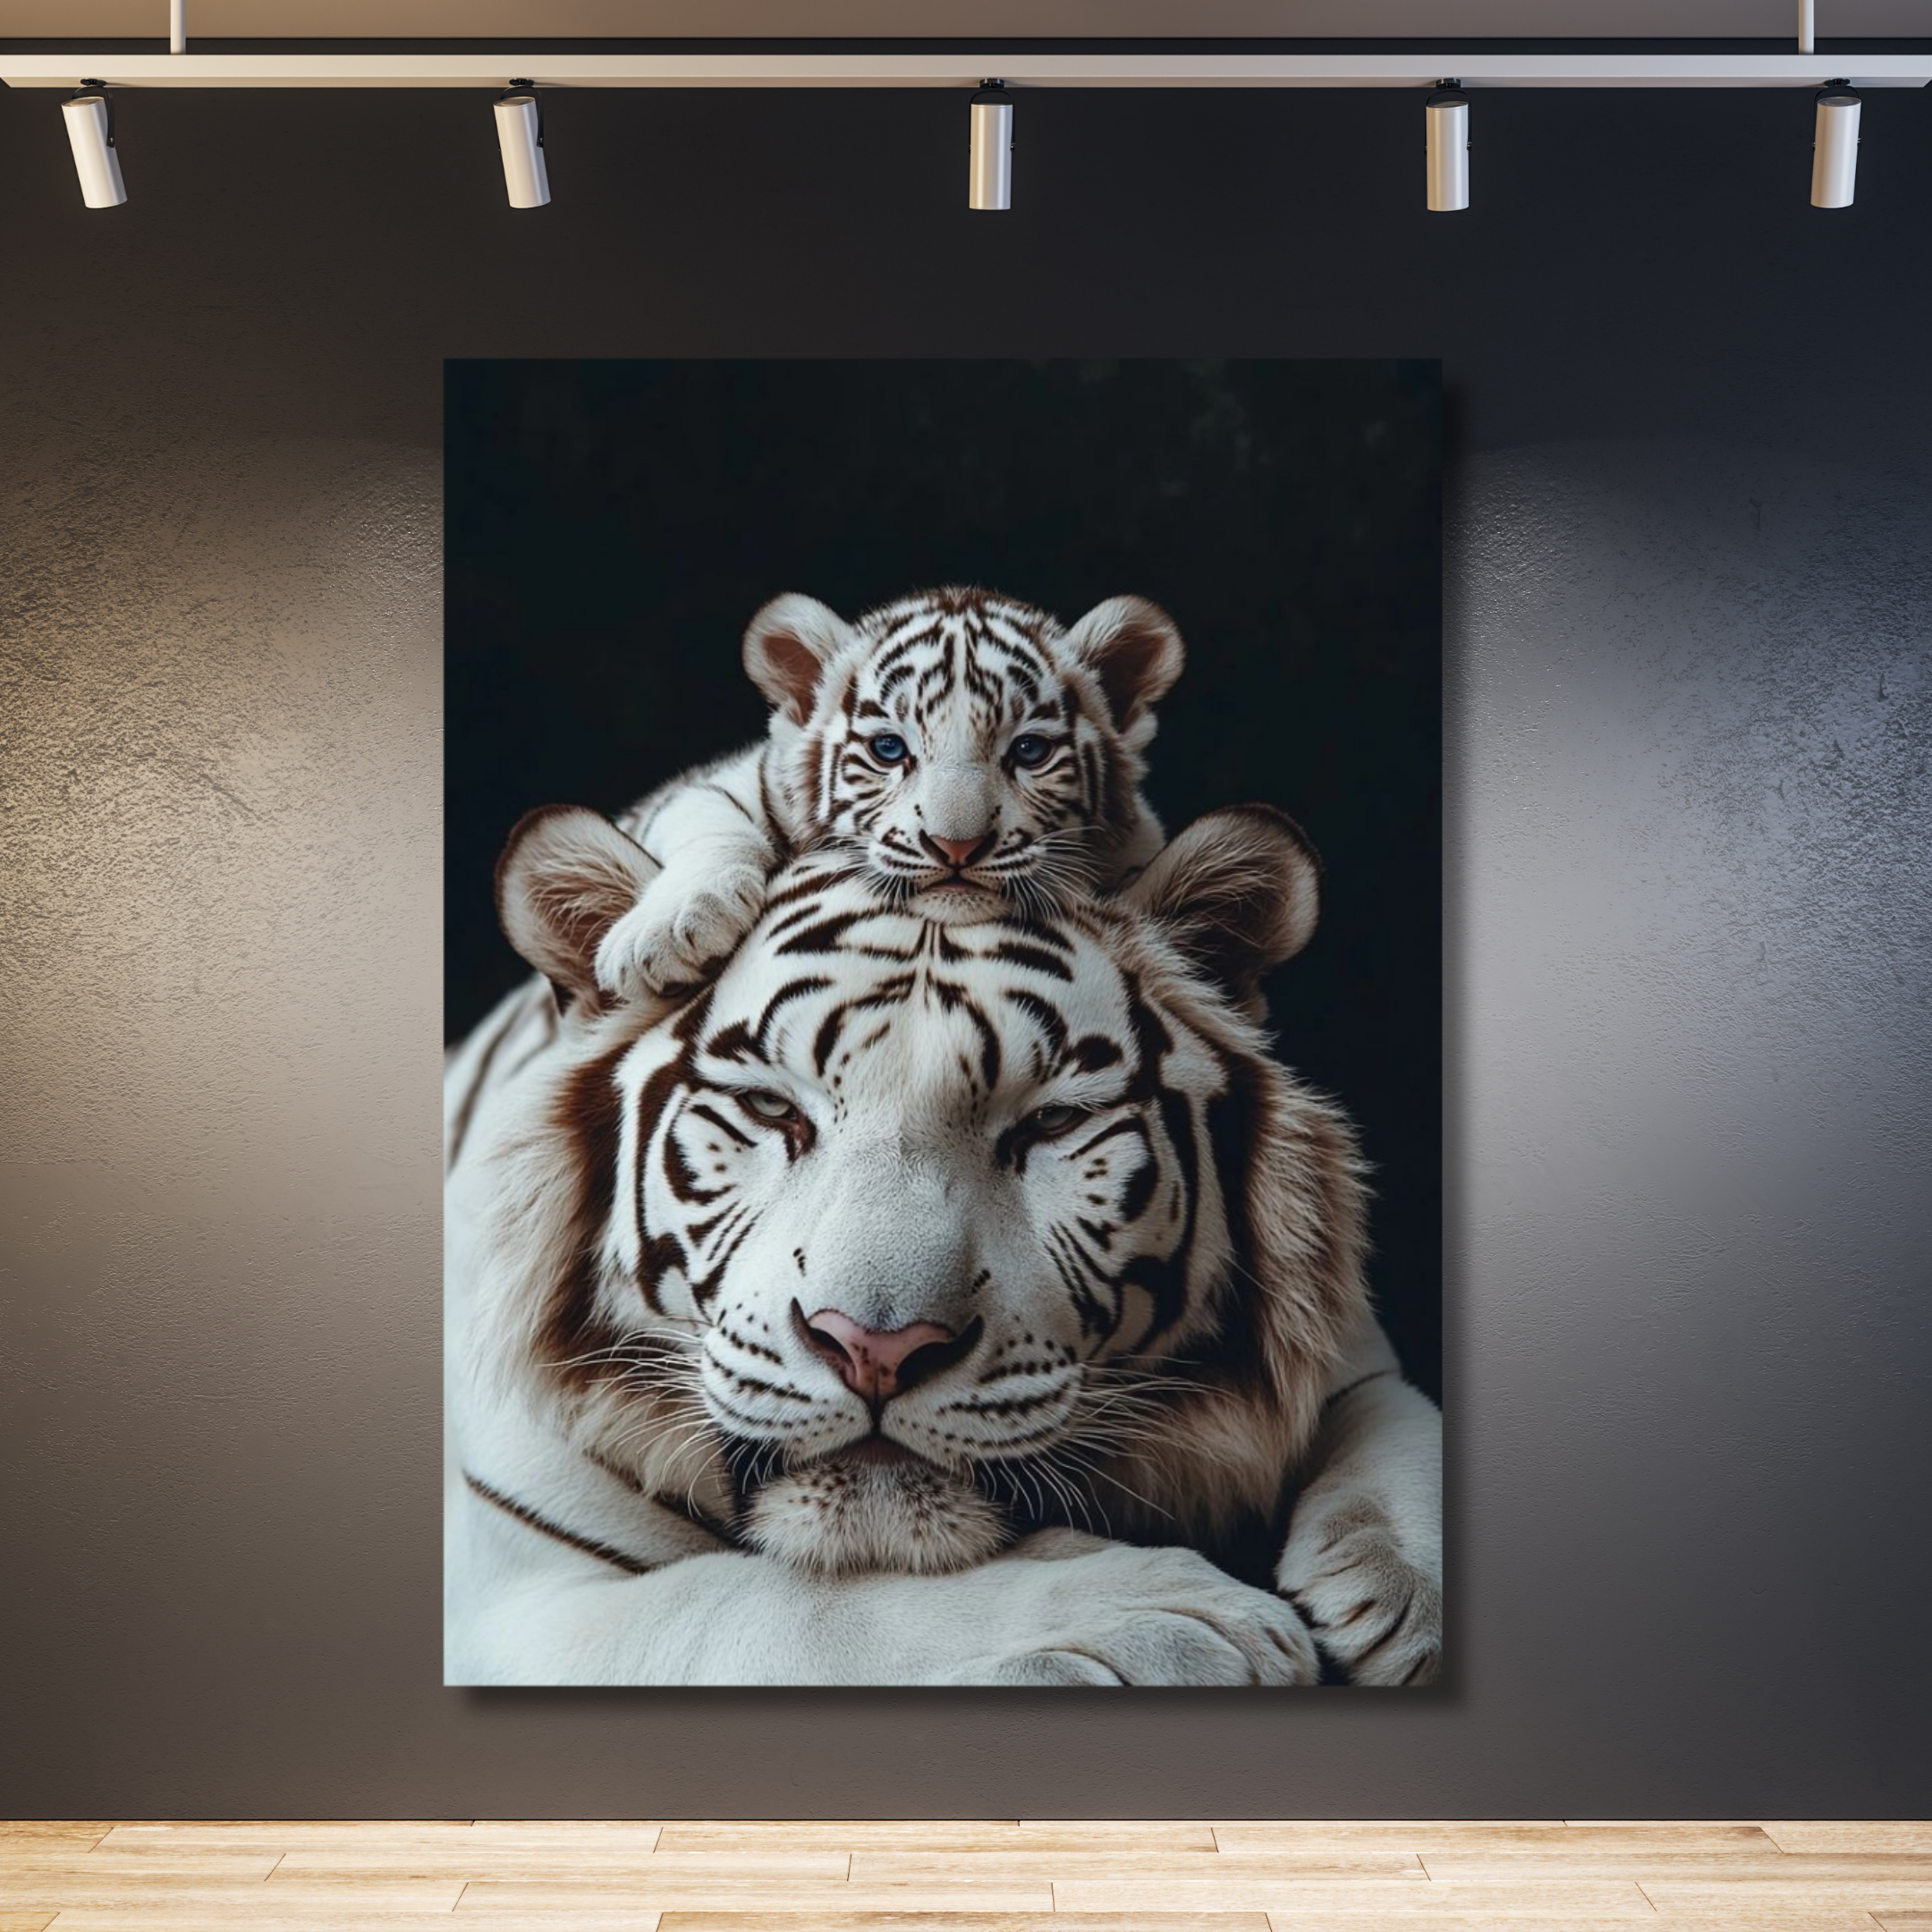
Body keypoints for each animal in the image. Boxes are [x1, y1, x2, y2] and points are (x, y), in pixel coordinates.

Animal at [444, 801, 1442, 1688]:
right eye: (770, 1108)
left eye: (1050, 1123)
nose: (876, 1349)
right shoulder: (518, 1603)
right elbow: (775, 1607)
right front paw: (1177, 1616)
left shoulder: (1348, 1347)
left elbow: (1396, 1416)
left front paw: (1405, 1597)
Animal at [593, 585, 1184, 998]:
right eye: (889, 750)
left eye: (1030, 751)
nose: (956, 847)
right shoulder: (722, 786)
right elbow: (710, 821)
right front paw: (669, 932)